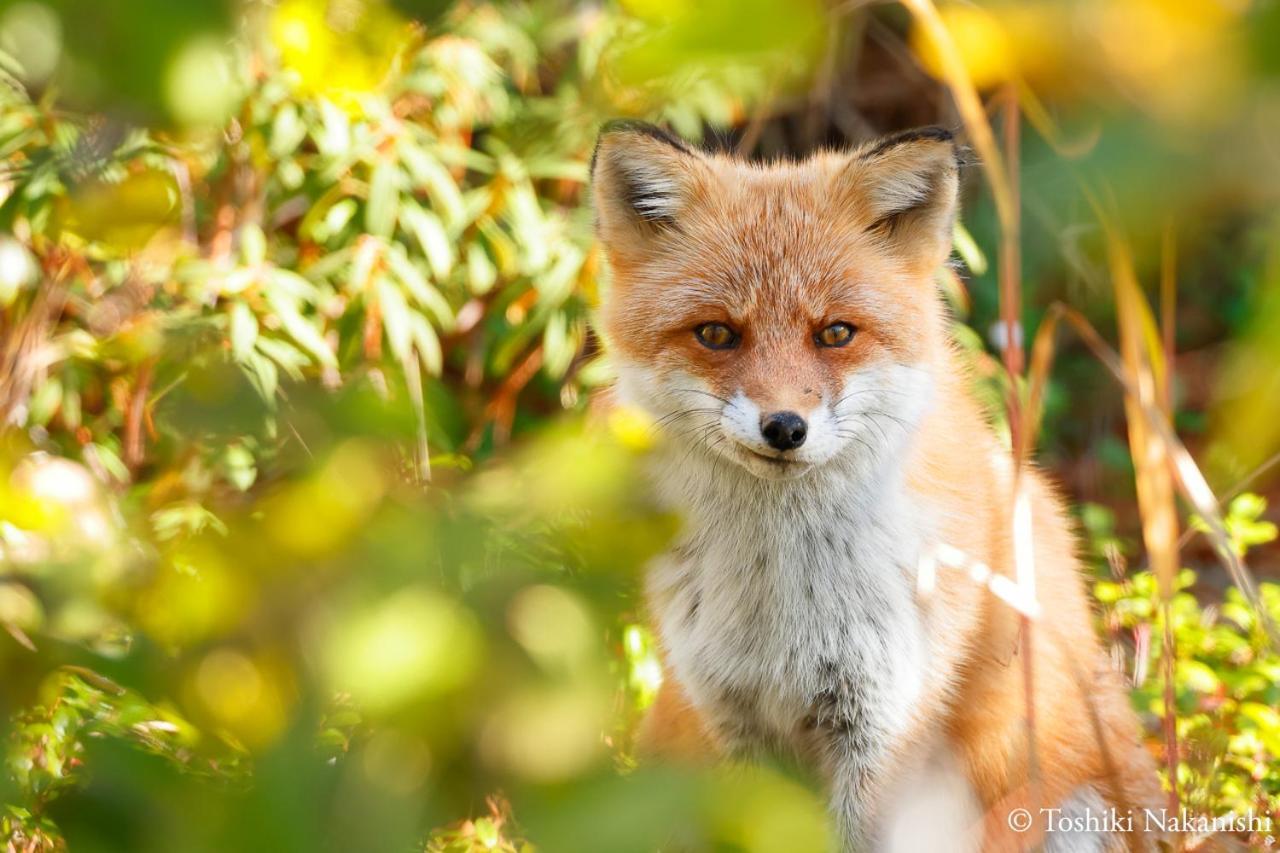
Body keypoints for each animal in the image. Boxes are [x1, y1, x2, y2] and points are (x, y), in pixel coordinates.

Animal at [588, 121, 1172, 850]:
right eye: (717, 333)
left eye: (836, 332)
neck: (783, 602)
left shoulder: (886, 723)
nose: (785, 427)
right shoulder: (726, 712)